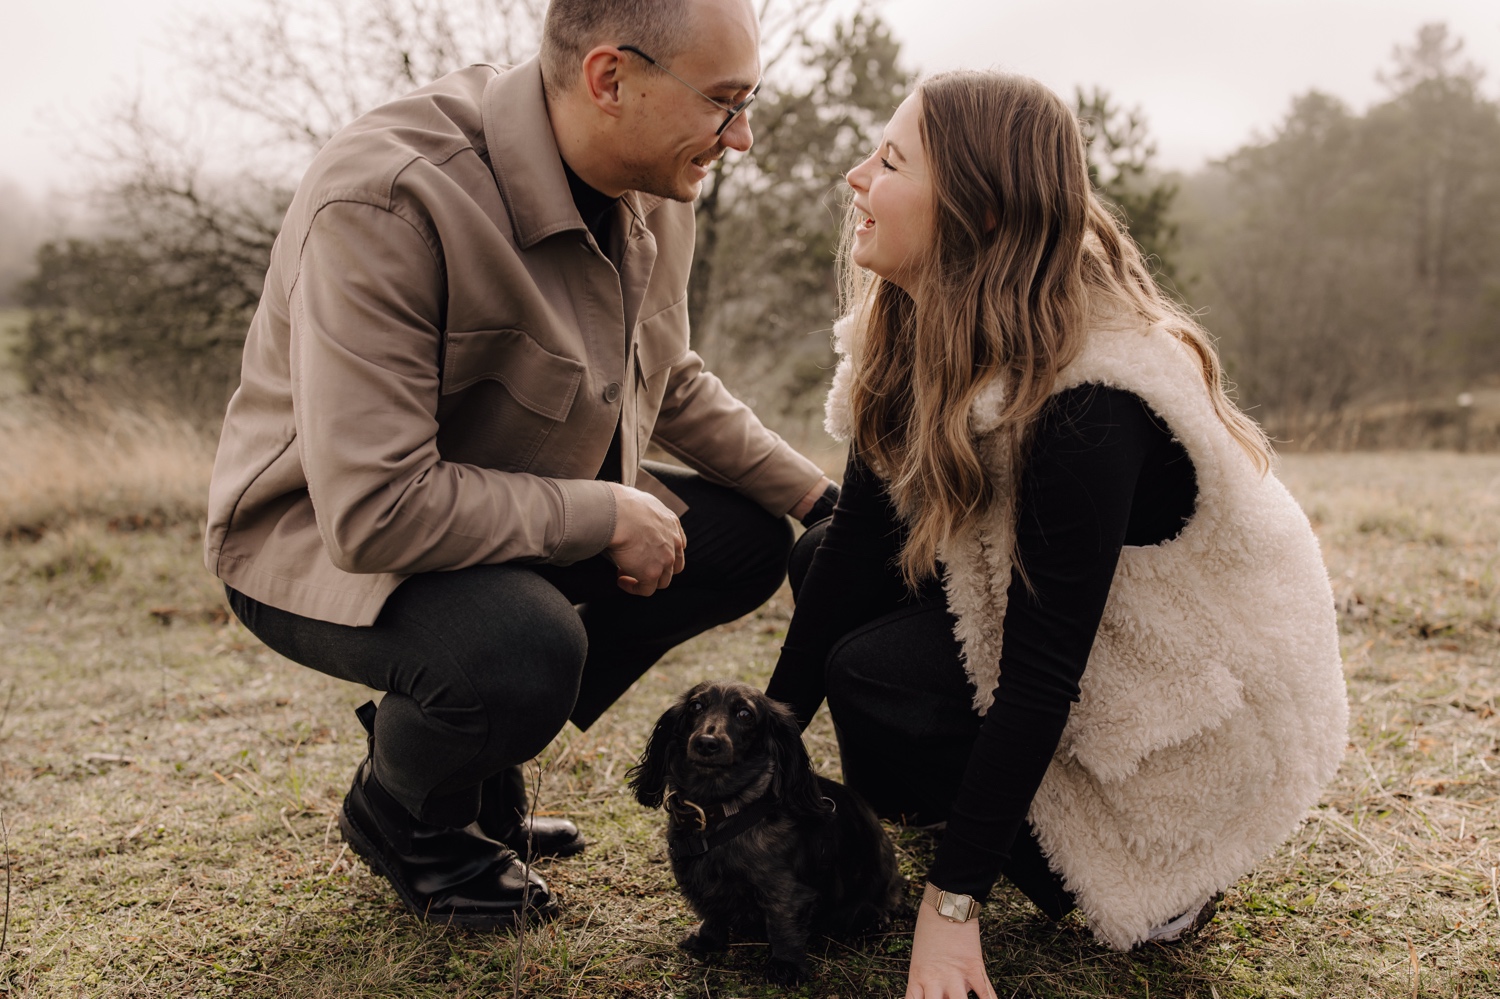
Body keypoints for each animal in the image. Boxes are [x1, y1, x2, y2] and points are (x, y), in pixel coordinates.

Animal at [624, 678, 894, 978]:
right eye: (695, 706)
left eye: (745, 714)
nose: (706, 743)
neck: (722, 812)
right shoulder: (702, 884)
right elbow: (712, 913)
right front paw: (708, 941)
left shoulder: (784, 891)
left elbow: (781, 926)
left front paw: (786, 966)